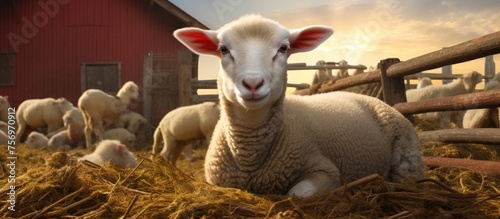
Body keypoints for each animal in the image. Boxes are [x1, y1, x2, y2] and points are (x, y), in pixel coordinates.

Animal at [174, 14, 424, 198]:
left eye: (284, 48)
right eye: (223, 49)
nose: (253, 84)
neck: (251, 158)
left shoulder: (326, 170)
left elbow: (297, 194)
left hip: (407, 156)